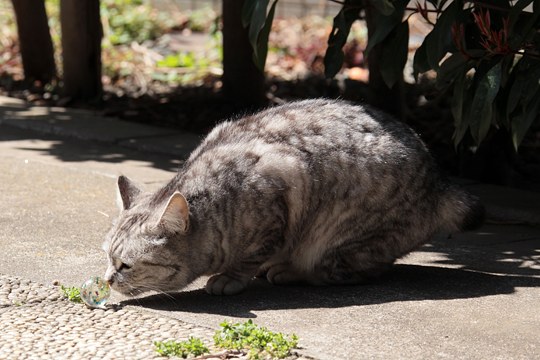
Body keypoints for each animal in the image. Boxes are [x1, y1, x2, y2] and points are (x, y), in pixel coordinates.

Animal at [102, 98, 486, 296]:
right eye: (107, 257)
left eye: (126, 265)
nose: (106, 279)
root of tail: (441, 183)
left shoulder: (279, 193)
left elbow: (252, 254)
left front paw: (231, 277)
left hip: (344, 235)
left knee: (351, 271)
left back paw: (289, 271)